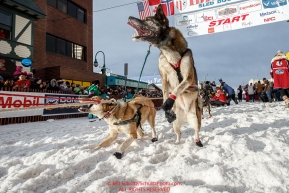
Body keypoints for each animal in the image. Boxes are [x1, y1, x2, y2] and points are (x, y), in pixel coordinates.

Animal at [127, 4, 204, 146]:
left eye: (147, 19)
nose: (129, 17)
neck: (168, 50)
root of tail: (185, 114)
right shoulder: (164, 78)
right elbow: (164, 93)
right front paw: (166, 107)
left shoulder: (188, 77)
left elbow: (177, 88)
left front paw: (169, 101)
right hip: (175, 124)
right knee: (179, 133)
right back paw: (177, 142)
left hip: (196, 119)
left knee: (196, 132)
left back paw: (198, 141)